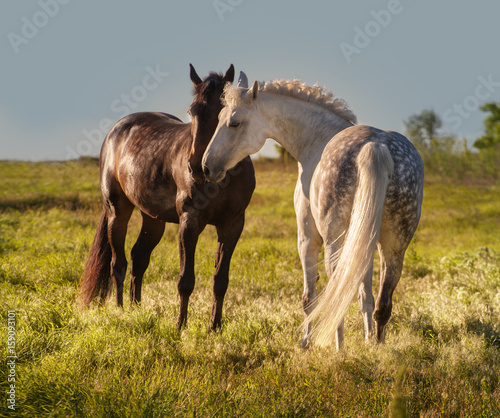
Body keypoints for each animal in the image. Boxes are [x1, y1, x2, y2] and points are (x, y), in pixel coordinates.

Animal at [80, 63, 258, 330]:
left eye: (225, 112)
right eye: (192, 111)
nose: (197, 166)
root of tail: (117, 129)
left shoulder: (233, 225)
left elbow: (220, 280)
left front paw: (214, 327)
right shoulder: (189, 221)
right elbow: (186, 279)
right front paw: (180, 326)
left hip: (153, 219)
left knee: (138, 258)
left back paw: (136, 308)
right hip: (117, 211)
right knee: (117, 264)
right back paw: (120, 310)